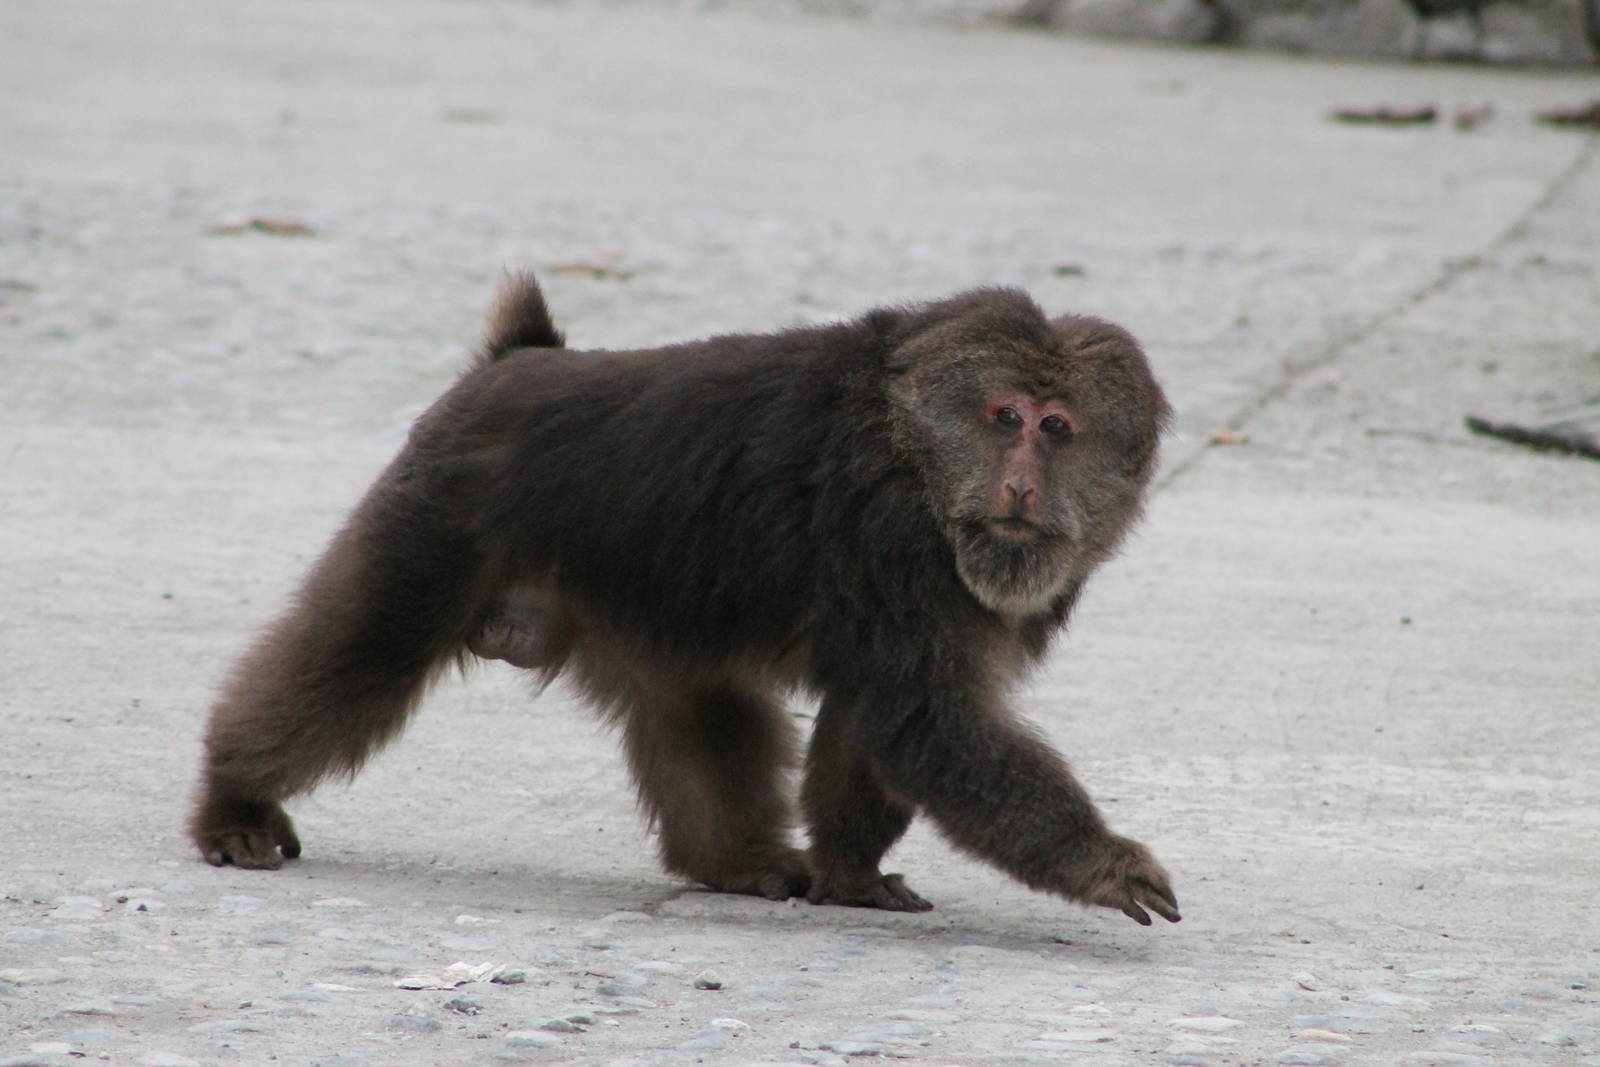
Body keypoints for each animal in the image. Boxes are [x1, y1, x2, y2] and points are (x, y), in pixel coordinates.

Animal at [190, 272, 1181, 927]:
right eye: (1005, 417)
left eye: (1058, 428)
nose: (1021, 485)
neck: (917, 453)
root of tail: (519, 361)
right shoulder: (889, 538)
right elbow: (923, 717)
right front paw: (1102, 861)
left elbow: (880, 718)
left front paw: (853, 873)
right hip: (439, 513)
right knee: (369, 650)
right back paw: (235, 795)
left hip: (622, 593)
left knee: (701, 701)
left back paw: (732, 863)